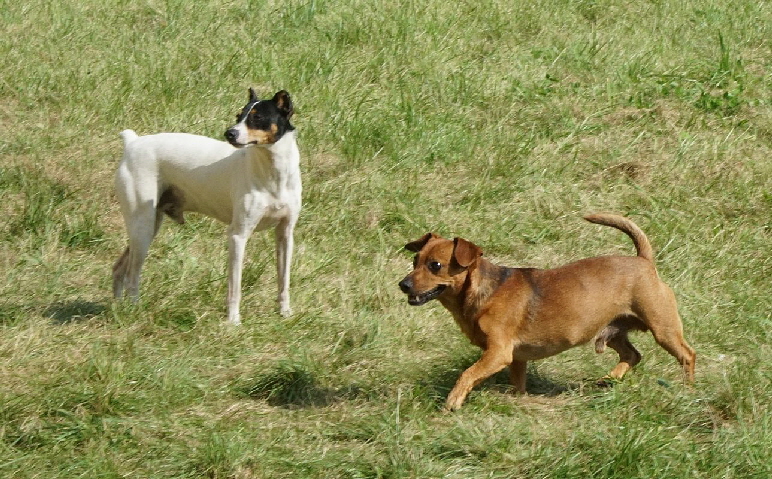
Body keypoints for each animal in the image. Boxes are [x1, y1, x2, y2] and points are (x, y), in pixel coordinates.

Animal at [114, 90, 302, 326]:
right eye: (238, 115)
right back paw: (134, 309)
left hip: (147, 227)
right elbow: (234, 287)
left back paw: (117, 307)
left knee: (119, 268)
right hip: (143, 228)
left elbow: (283, 281)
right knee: (132, 274)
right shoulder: (238, 235)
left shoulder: (285, 234)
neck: (273, 174)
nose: (229, 133)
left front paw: (285, 313)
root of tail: (133, 142)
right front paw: (233, 321)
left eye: (257, 118)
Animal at [402, 215, 696, 412]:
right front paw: (518, 402)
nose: (402, 284)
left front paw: (453, 400)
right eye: (415, 262)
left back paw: (688, 390)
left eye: (435, 265)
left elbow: (467, 374)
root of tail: (643, 261)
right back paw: (609, 379)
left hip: (663, 329)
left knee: (687, 355)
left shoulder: (498, 353)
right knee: (633, 355)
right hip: (615, 332)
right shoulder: (516, 358)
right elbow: (517, 383)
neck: (486, 291)